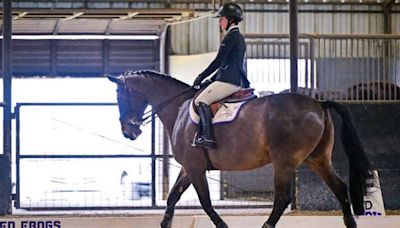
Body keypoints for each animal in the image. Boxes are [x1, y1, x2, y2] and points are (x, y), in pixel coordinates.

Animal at [108, 70, 374, 228]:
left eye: (120, 96)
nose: (128, 131)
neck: (180, 109)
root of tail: (318, 103)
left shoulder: (195, 168)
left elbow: (205, 202)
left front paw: (223, 226)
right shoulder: (187, 168)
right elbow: (173, 197)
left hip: (284, 162)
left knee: (282, 198)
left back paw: (266, 226)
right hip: (318, 159)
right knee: (340, 189)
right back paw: (350, 224)